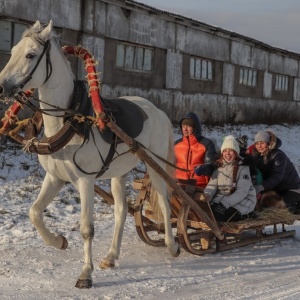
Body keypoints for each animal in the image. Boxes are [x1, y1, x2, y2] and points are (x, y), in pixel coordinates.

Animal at [0, 21, 178, 288]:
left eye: (30, 55)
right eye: (12, 50)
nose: (3, 85)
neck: (71, 119)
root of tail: (158, 111)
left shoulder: (85, 180)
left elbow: (86, 228)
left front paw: (85, 273)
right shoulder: (55, 177)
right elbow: (34, 212)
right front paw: (59, 241)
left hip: (155, 166)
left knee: (165, 204)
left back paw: (172, 245)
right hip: (119, 173)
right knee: (121, 211)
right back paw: (112, 256)